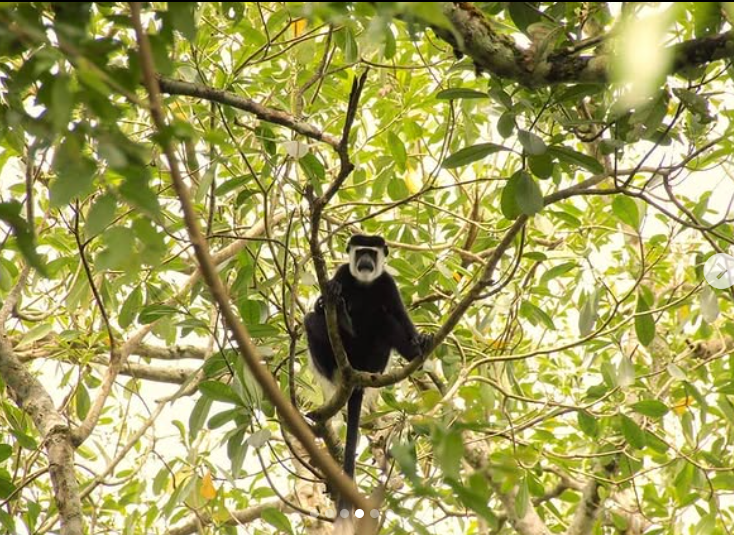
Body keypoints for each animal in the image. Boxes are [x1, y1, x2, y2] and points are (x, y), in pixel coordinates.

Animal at [304, 234, 432, 532]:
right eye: (360, 251)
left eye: (371, 254)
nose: (364, 261)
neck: (363, 283)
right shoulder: (342, 273)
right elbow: (321, 303)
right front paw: (327, 301)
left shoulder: (387, 283)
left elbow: (399, 314)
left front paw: (419, 341)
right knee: (311, 320)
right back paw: (341, 323)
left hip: (376, 360)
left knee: (385, 320)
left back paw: (414, 351)